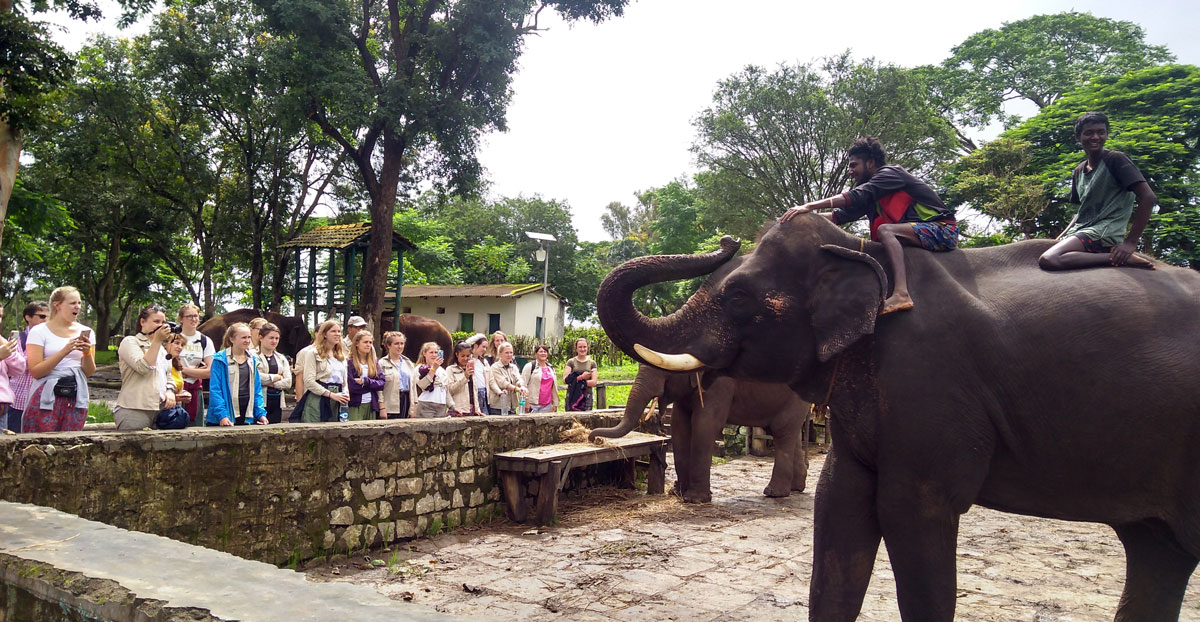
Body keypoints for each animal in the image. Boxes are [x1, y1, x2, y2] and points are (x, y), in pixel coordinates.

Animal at [589, 363, 810, 502]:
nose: (593, 438)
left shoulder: (719, 383)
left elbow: (705, 424)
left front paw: (694, 499)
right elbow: (679, 425)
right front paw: (676, 493)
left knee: (782, 431)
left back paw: (774, 493)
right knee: (788, 433)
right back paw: (796, 488)